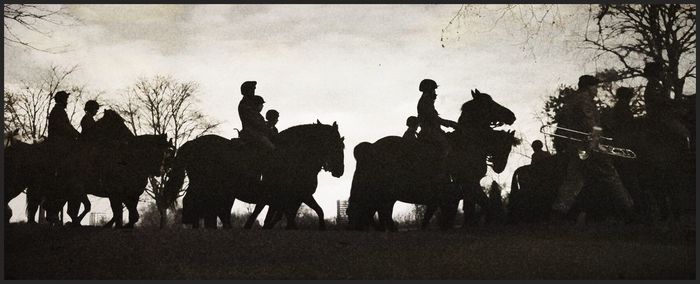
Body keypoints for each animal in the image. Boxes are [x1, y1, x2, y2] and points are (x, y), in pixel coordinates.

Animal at [167, 121, 348, 230]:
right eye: (337, 145)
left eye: (343, 146)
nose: (339, 170)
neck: (295, 156)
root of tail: (193, 143)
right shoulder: (296, 196)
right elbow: (310, 213)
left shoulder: (292, 198)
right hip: (205, 186)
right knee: (194, 202)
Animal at [348, 89, 516, 231]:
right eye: (489, 103)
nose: (511, 116)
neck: (466, 144)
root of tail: (369, 147)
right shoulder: (469, 184)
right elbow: (483, 206)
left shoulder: (460, 191)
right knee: (374, 212)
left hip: (386, 193)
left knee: (378, 212)